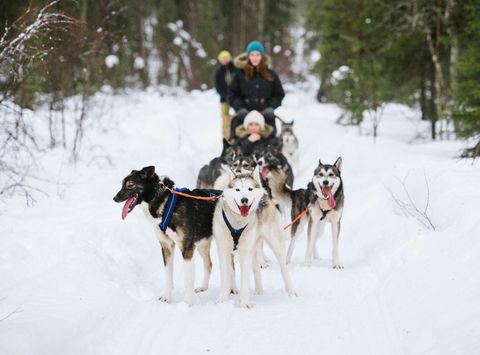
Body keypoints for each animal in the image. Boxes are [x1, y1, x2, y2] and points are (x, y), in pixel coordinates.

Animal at [112, 168, 219, 304]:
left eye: (130, 185)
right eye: (122, 184)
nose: (115, 198)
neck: (167, 205)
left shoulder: (187, 249)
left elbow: (188, 280)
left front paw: (186, 303)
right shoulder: (166, 246)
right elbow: (168, 275)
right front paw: (166, 298)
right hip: (202, 244)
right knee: (209, 264)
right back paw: (204, 287)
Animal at [214, 172, 296, 308]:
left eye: (249, 189)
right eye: (237, 189)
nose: (244, 200)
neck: (237, 223)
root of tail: (264, 195)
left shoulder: (245, 252)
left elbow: (244, 279)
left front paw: (245, 303)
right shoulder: (223, 251)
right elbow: (225, 276)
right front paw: (222, 301)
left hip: (276, 245)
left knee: (284, 269)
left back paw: (292, 292)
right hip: (253, 249)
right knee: (256, 270)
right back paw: (259, 291)